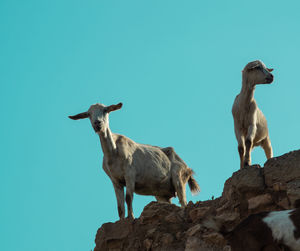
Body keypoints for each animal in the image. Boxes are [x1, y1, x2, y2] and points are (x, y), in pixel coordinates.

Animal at [68, 103, 199, 219]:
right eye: (89, 114)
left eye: (105, 110)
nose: (97, 124)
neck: (113, 153)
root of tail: (187, 168)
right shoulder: (115, 181)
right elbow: (119, 206)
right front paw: (121, 221)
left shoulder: (130, 174)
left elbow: (128, 197)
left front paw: (131, 217)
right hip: (161, 193)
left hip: (179, 178)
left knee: (183, 201)